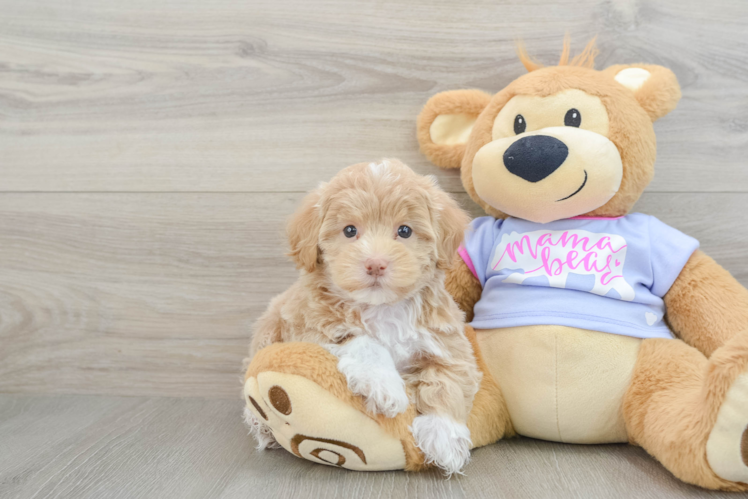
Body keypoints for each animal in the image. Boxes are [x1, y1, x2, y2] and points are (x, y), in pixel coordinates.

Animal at [245, 160, 480, 476]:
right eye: (349, 230)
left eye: (404, 230)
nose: (375, 263)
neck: (382, 307)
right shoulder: (306, 327)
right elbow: (365, 342)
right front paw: (385, 387)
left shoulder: (446, 342)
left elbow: (448, 382)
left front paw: (444, 437)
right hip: (269, 330)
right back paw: (261, 426)